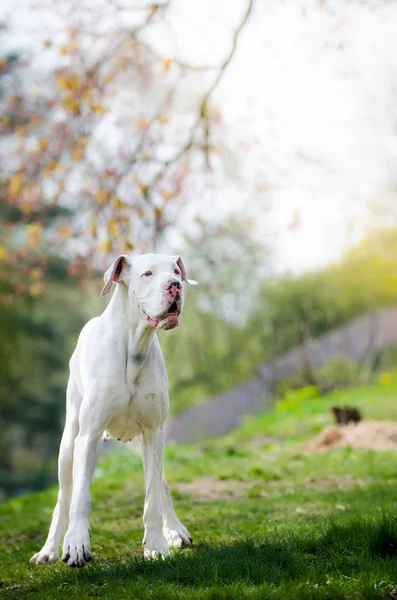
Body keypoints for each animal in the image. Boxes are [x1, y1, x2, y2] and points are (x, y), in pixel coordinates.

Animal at [30, 252, 196, 568]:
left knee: (161, 485)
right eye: (147, 274)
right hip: (68, 443)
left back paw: (174, 530)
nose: (176, 285)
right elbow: (80, 498)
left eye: (175, 271)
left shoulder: (154, 433)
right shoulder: (88, 435)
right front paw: (76, 543)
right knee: (64, 497)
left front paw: (156, 545)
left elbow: (153, 497)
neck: (134, 347)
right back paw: (49, 549)